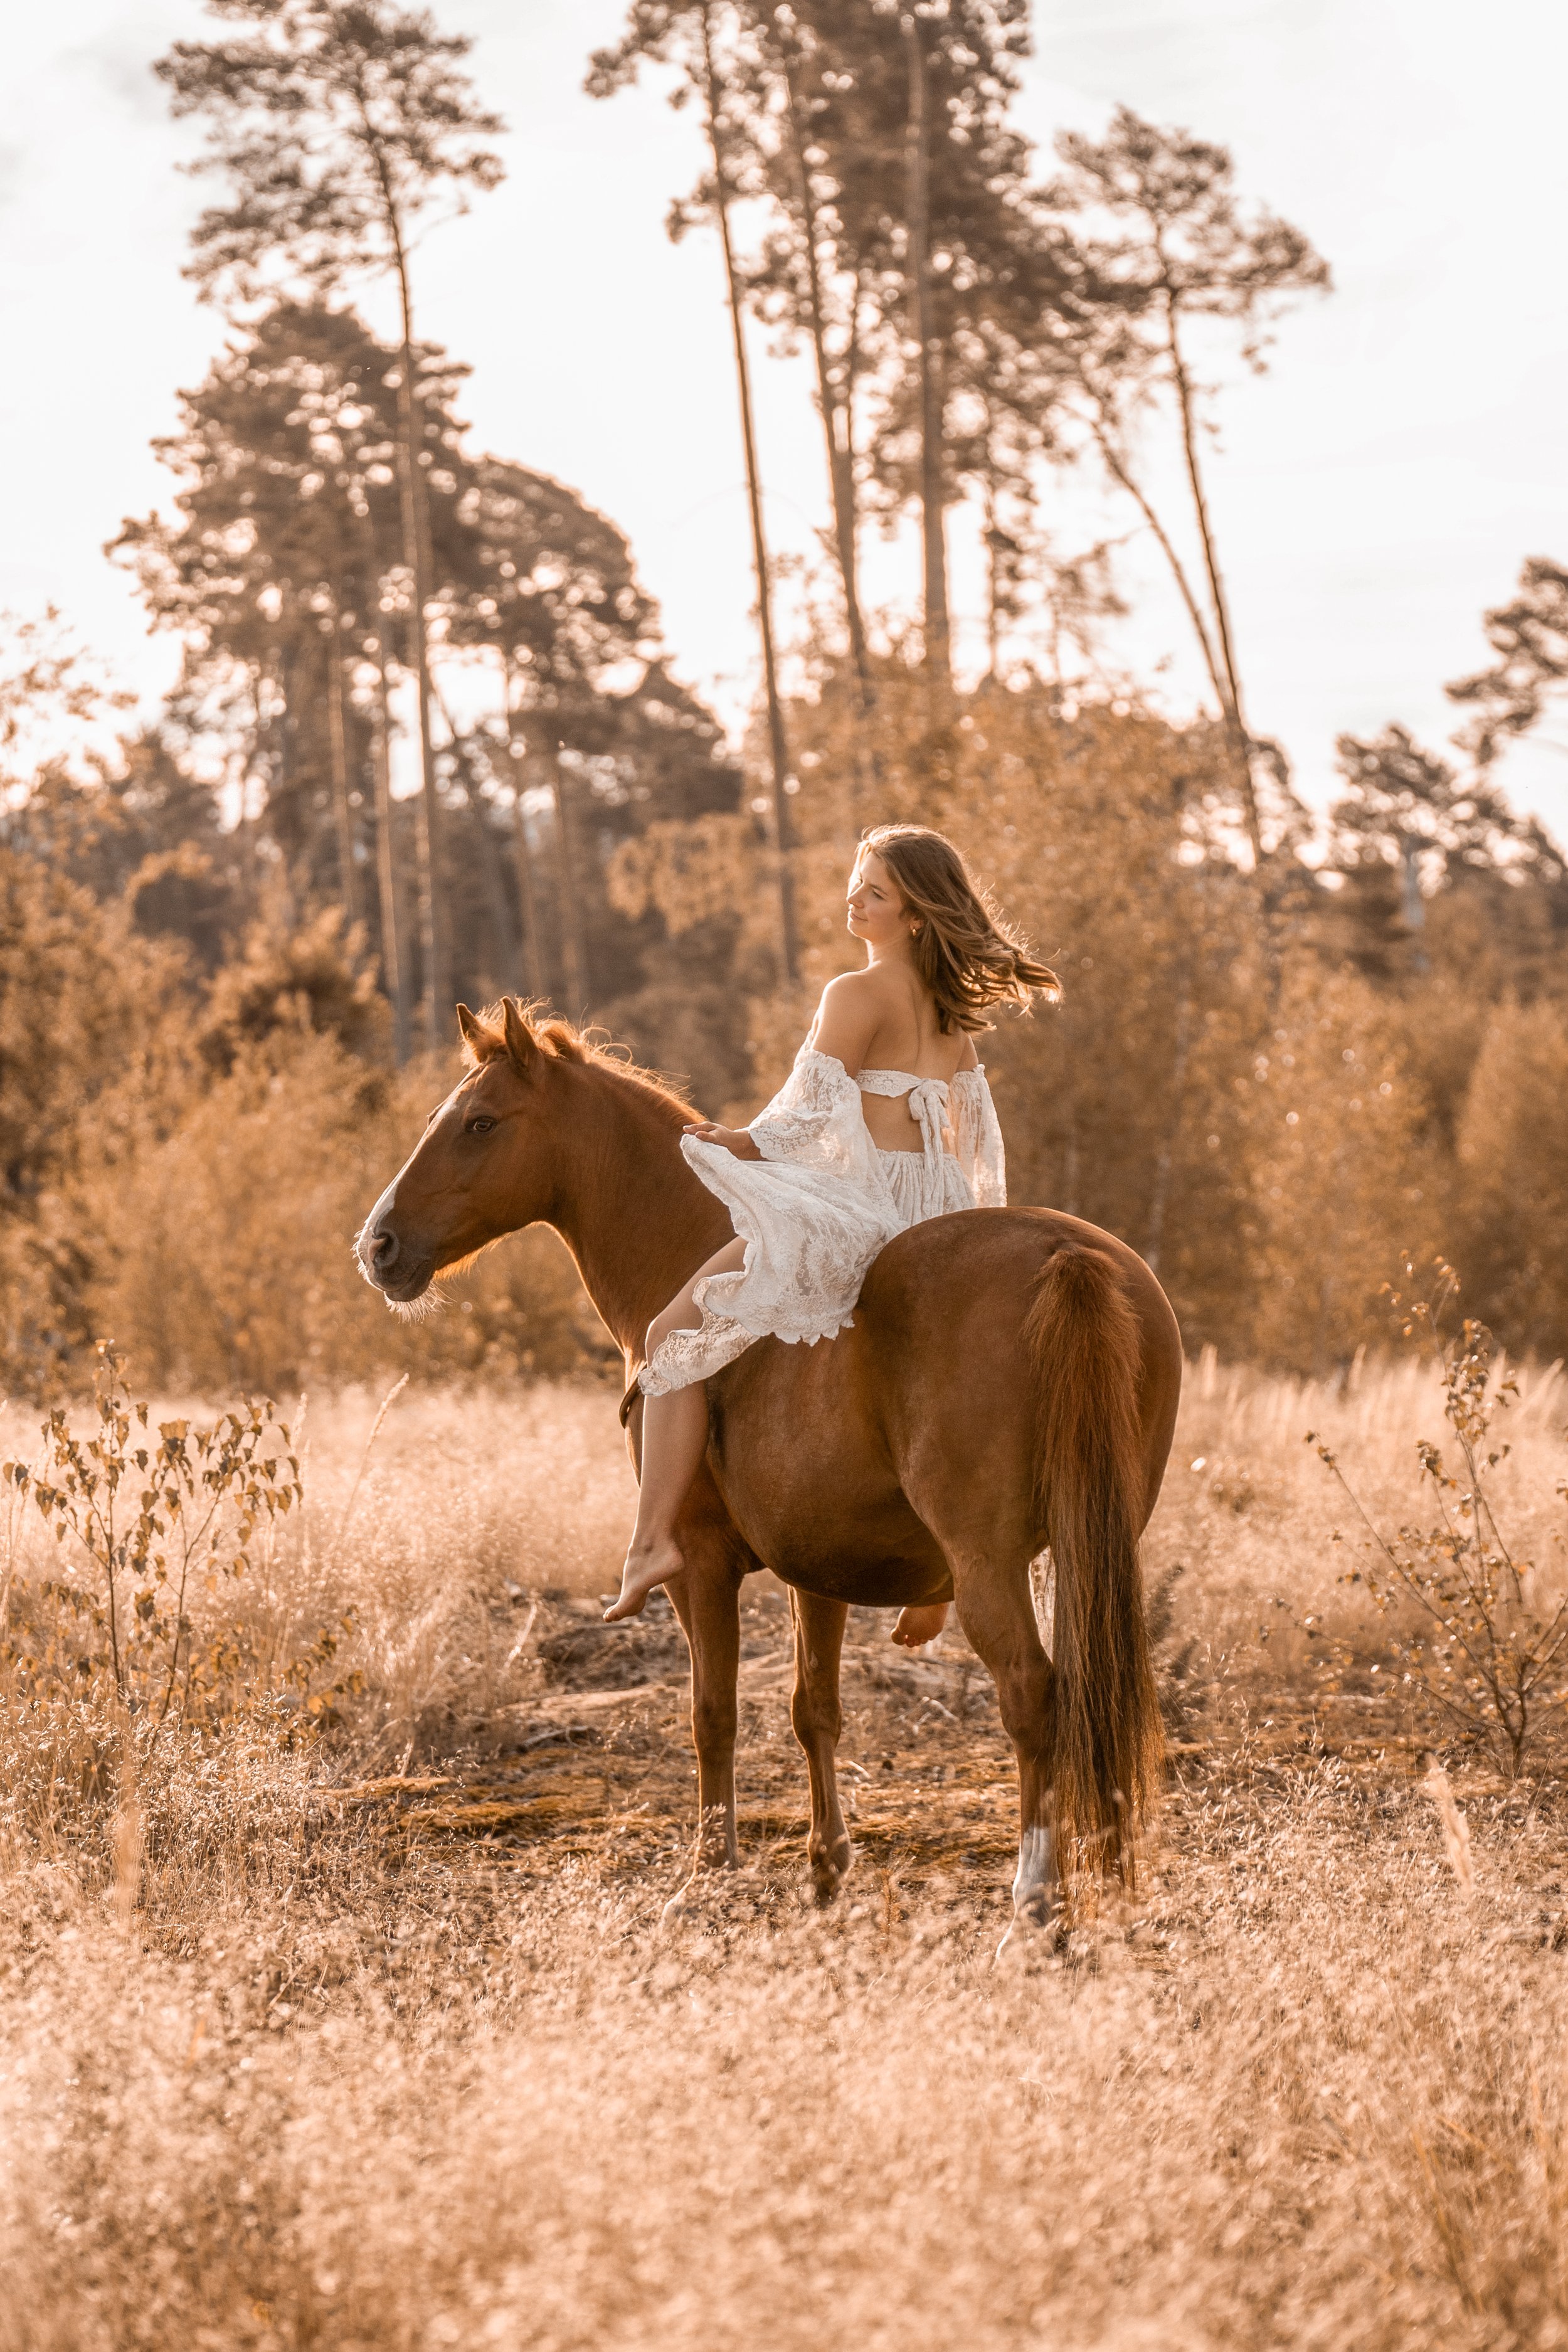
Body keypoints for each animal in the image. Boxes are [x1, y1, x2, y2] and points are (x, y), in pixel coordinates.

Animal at [356, 997, 1183, 1942]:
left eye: (481, 1123)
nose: (379, 1245)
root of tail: (1063, 1256)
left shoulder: (701, 1568)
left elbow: (712, 1714)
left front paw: (707, 1873)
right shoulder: (818, 1571)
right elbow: (813, 1709)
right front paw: (826, 1869)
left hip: (990, 1566)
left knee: (1033, 1696)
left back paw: (1035, 1900)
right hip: (1093, 1546)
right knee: (1094, 1693)